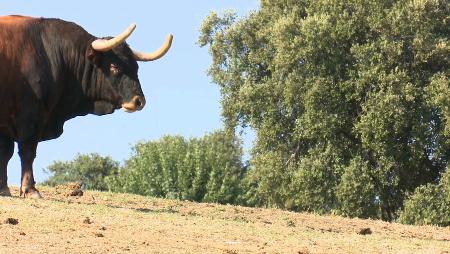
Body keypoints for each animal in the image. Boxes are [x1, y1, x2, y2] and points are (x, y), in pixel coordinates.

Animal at [0, 15, 172, 198]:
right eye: (114, 67)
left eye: (136, 67)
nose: (139, 101)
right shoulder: (32, 116)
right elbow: (27, 151)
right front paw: (30, 189)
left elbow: (5, 153)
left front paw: (3, 188)